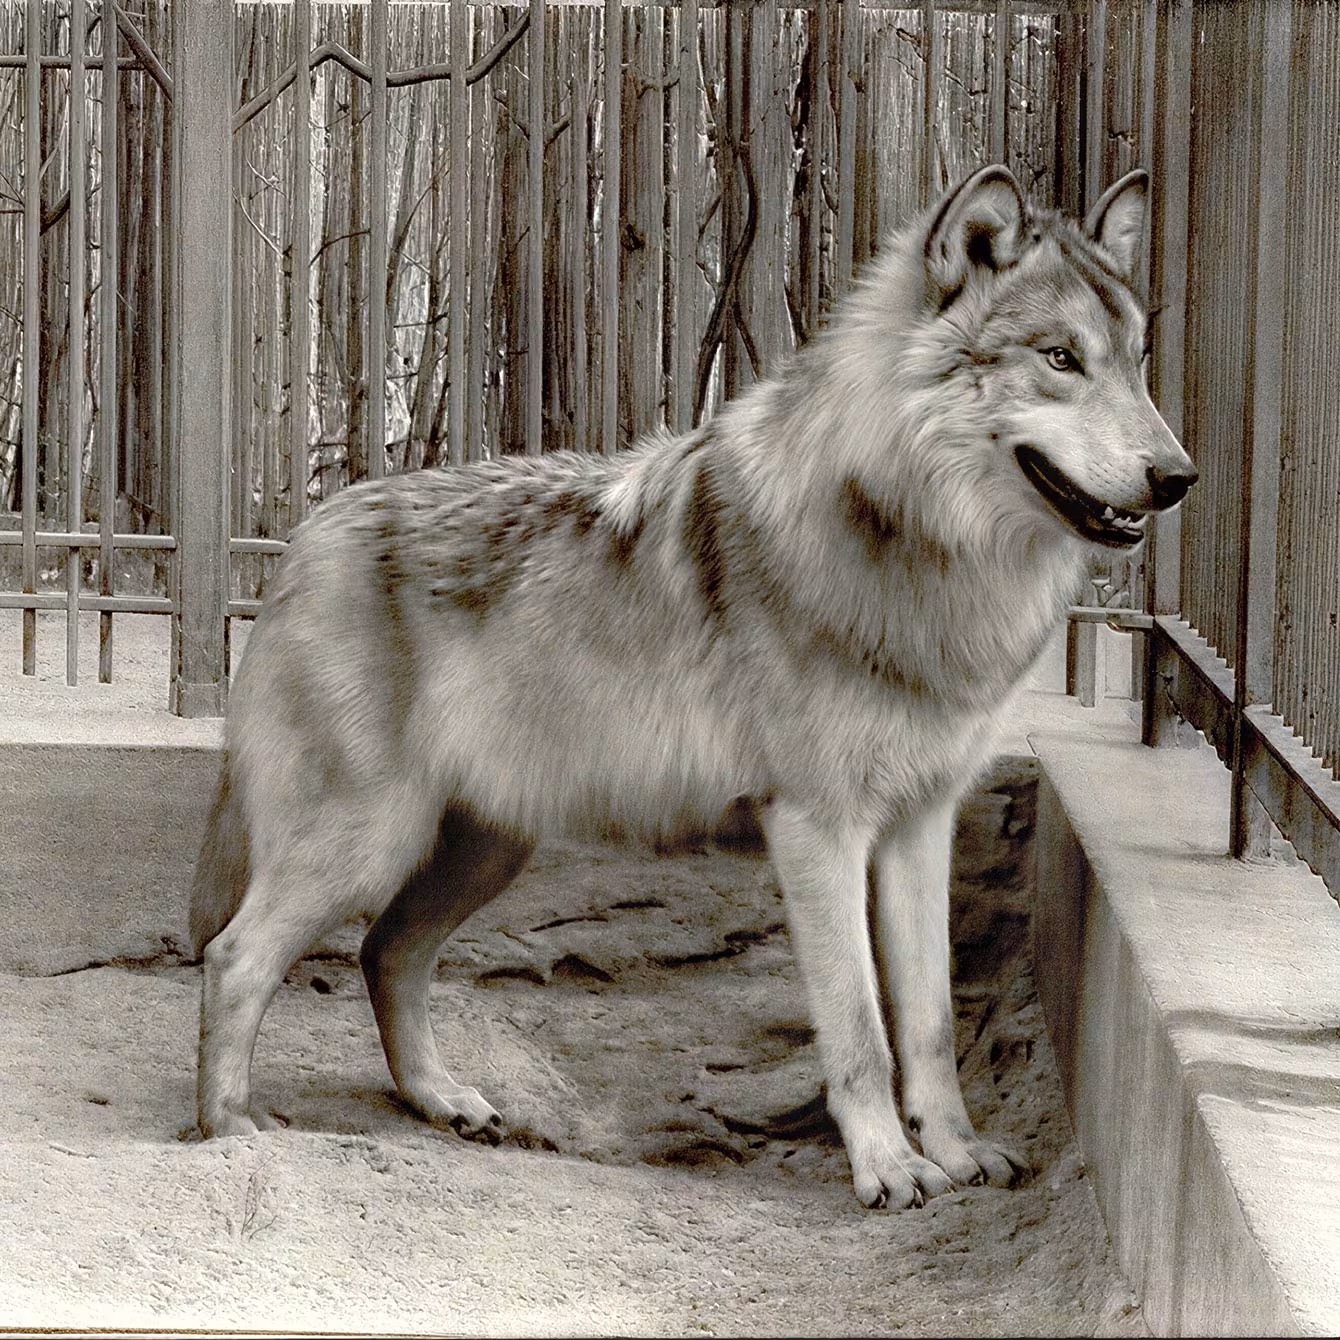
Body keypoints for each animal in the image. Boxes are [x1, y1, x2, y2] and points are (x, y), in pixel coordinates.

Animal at [190, 165, 1194, 1209]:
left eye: (1136, 362)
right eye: (1061, 359)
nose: (1177, 477)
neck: (919, 549)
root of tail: (304, 536)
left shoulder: (920, 826)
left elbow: (929, 1024)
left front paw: (956, 1153)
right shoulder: (819, 830)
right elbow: (860, 1031)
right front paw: (886, 1166)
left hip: (483, 850)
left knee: (385, 952)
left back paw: (443, 1102)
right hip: (368, 842)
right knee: (236, 956)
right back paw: (230, 1132)